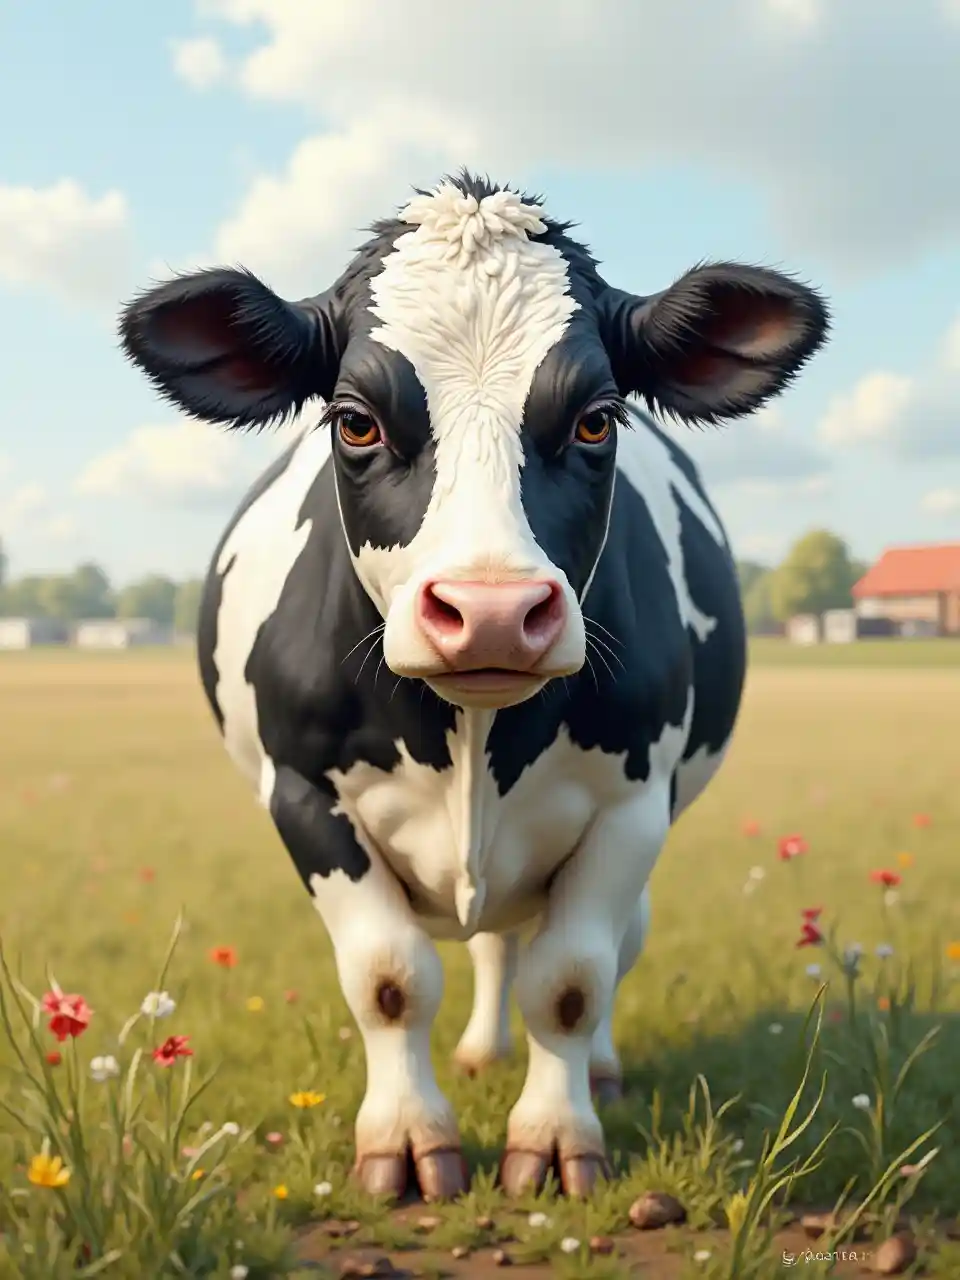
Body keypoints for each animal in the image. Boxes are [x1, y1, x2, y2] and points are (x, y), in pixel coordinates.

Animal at [119, 171, 829, 1204]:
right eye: (355, 420)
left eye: (598, 418)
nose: (491, 612)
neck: (470, 738)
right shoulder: (304, 794)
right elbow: (389, 979)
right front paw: (409, 1143)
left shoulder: (630, 805)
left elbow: (571, 982)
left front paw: (558, 1138)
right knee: (494, 940)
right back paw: (484, 1054)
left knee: (592, 944)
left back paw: (593, 1072)